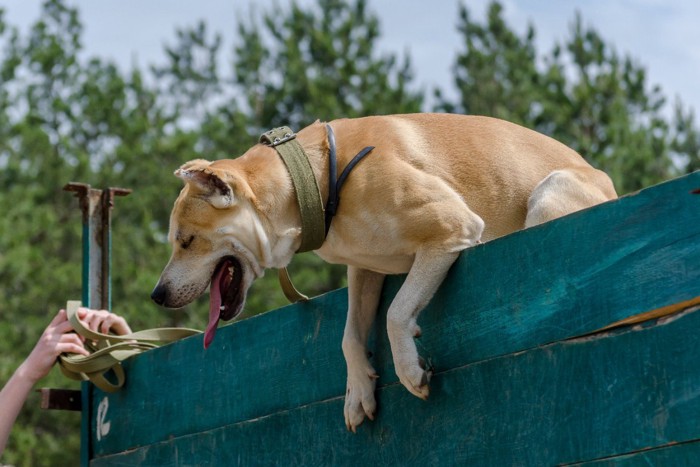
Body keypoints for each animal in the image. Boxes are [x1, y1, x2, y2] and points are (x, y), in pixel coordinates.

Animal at [150, 112, 616, 432]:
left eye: (186, 241)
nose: (157, 295)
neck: (313, 181)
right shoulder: (364, 268)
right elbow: (350, 335)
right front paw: (359, 391)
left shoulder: (453, 228)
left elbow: (395, 313)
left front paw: (410, 369)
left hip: (549, 192)